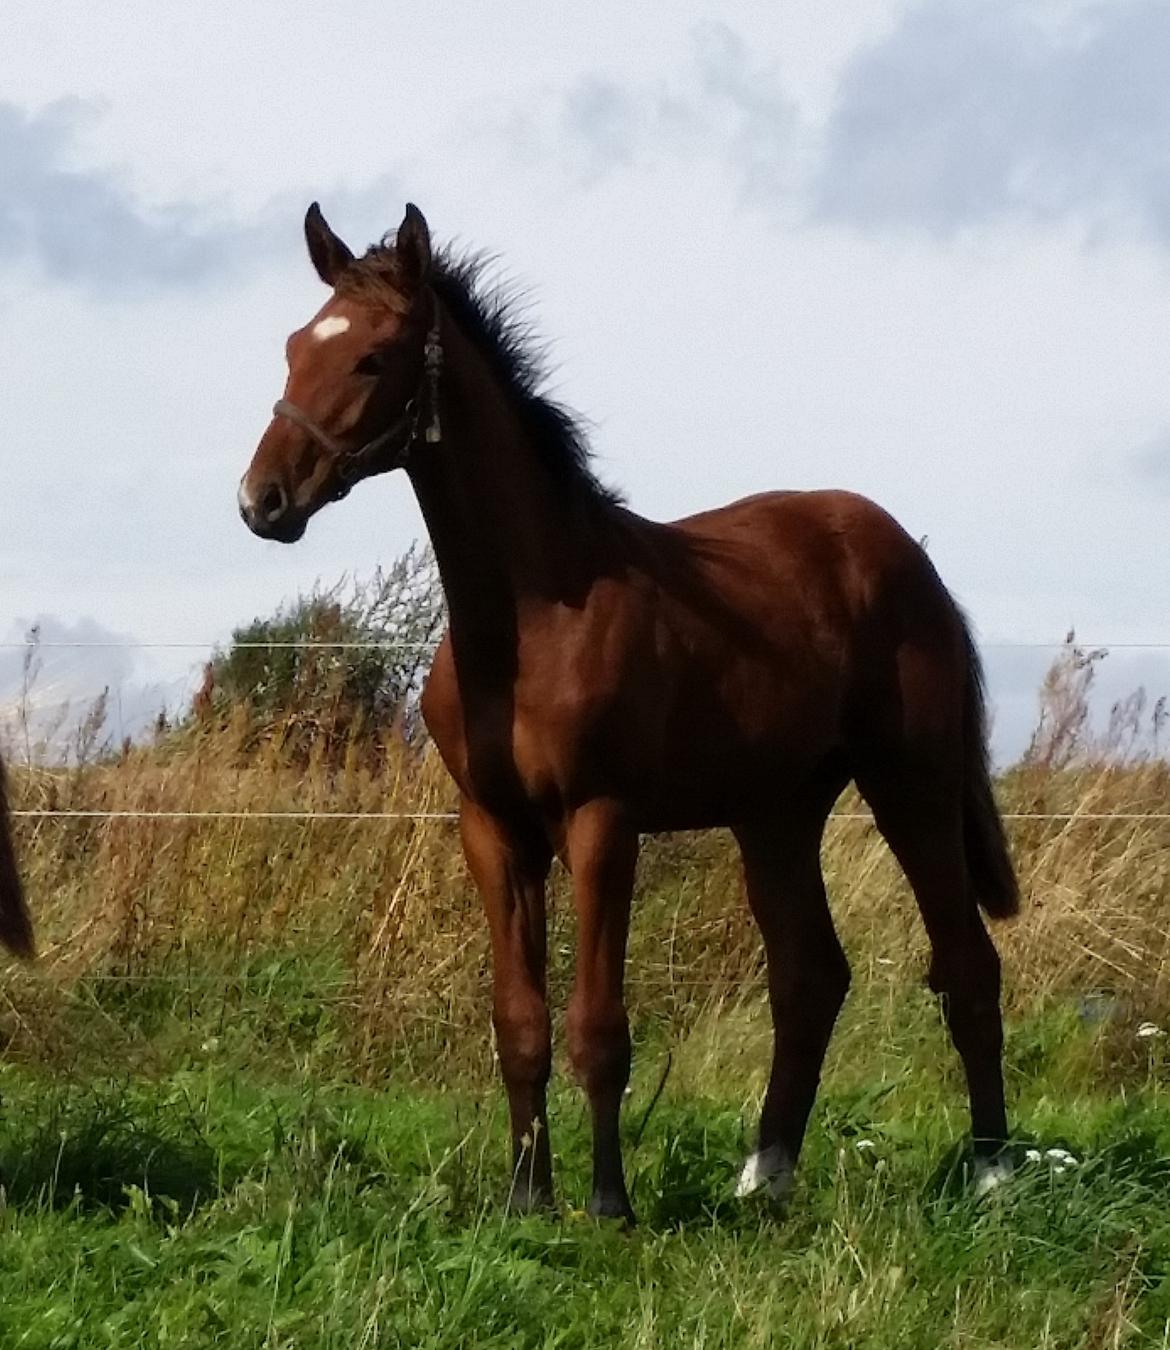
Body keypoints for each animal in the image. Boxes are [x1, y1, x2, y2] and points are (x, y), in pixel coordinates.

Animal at [237, 199, 1014, 1225]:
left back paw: (996, 1170)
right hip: (777, 813)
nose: (262, 501)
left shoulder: (602, 821)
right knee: (810, 975)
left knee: (965, 962)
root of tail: (911, 560)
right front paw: (527, 1200)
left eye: (372, 357)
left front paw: (609, 1204)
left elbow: (597, 1025)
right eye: (294, 348)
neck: (527, 619)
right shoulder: (492, 829)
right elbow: (519, 1021)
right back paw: (767, 1174)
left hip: (911, 783)